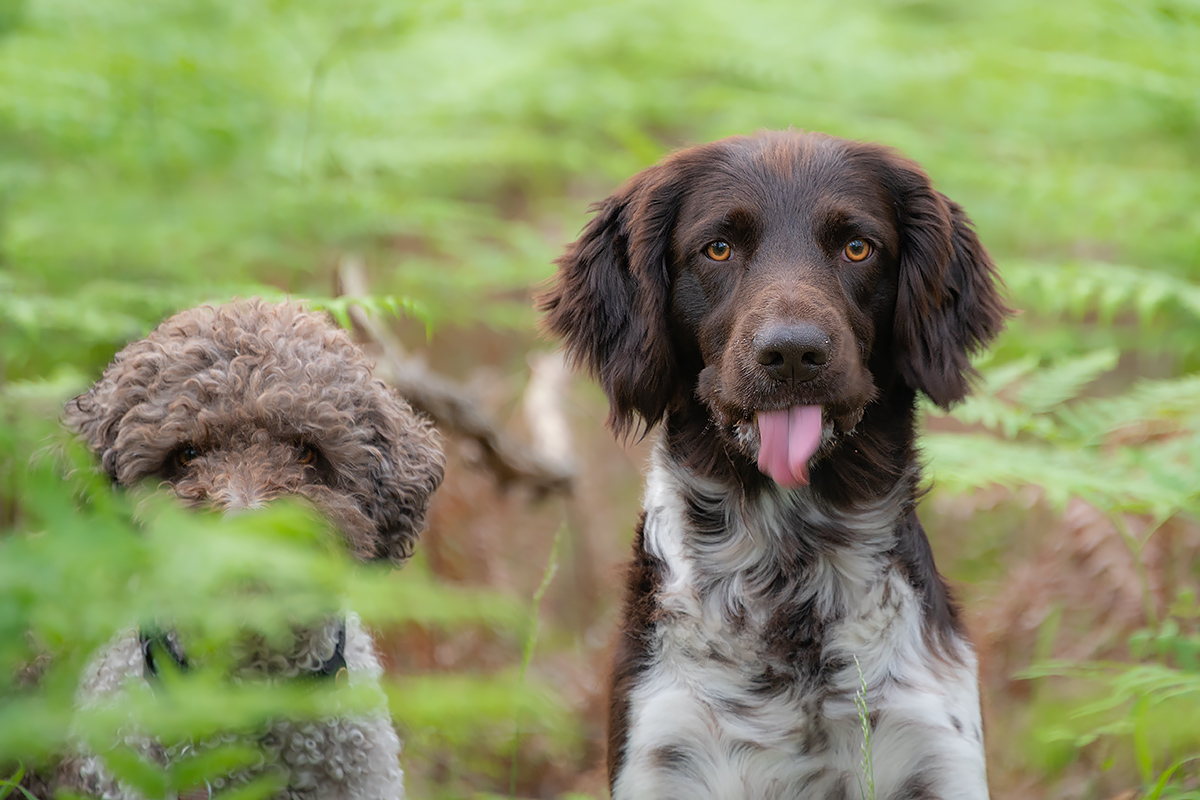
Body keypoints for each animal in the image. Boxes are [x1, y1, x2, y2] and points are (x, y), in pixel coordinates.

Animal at [540, 133, 1008, 800]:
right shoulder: (662, 753)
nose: (791, 352)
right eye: (718, 248)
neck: (791, 576)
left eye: (858, 246)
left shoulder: (939, 751)